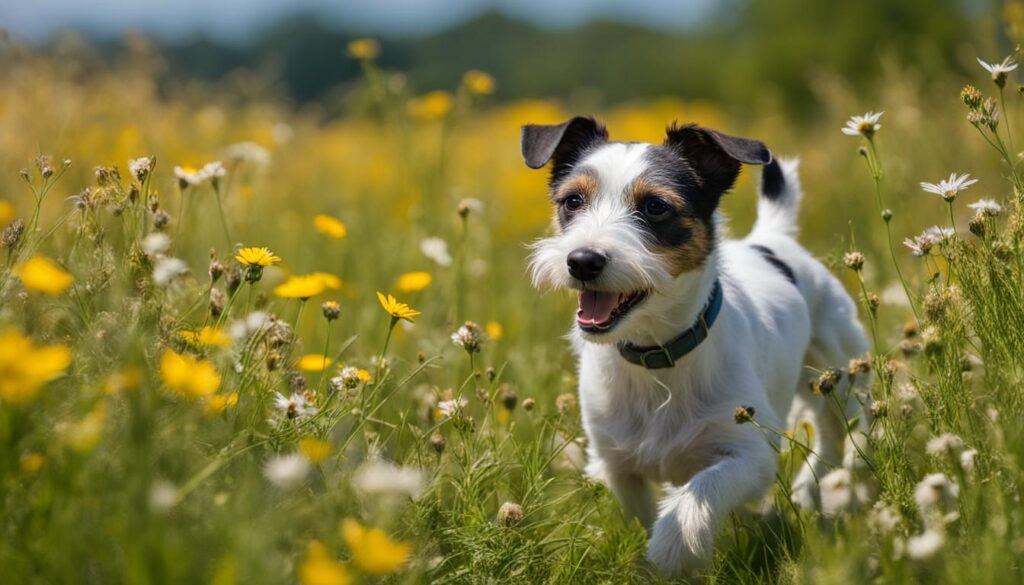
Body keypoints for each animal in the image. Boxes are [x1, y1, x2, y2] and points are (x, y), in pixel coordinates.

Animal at [524, 116, 868, 577]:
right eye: (573, 201)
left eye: (655, 206)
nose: (582, 261)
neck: (656, 355)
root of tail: (773, 238)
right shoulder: (615, 465)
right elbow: (640, 513)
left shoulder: (751, 452)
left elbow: (704, 488)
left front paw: (674, 545)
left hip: (838, 371)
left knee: (846, 422)